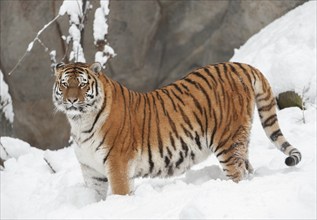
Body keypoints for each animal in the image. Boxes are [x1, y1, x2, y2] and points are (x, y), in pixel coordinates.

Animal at [52, 61, 302, 198]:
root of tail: (241, 65)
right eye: (64, 84)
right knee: (248, 168)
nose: (71, 100)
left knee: (238, 173)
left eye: (82, 84)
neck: (80, 122)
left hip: (228, 142)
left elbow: (120, 193)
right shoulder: (92, 170)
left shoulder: (117, 164)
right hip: (239, 140)